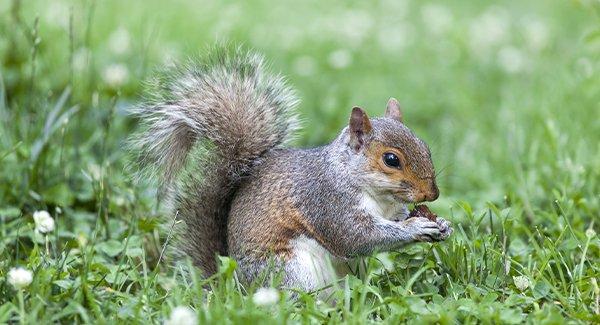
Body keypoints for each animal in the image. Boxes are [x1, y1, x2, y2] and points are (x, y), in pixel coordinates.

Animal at [131, 46, 450, 292]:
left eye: (425, 146)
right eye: (391, 160)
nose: (432, 194)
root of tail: (234, 289)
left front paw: (442, 224)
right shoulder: (326, 202)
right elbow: (357, 237)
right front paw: (417, 227)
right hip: (288, 271)